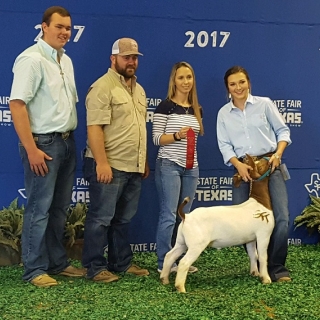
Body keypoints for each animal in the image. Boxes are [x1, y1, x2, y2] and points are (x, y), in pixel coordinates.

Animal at [160, 154, 276, 292]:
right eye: (261, 165)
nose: (270, 156)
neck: (259, 202)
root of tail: (186, 216)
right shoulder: (264, 234)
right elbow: (263, 257)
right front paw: (266, 279)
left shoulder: (250, 239)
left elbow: (253, 255)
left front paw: (254, 273)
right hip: (196, 244)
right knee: (184, 262)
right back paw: (181, 288)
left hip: (182, 241)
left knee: (170, 255)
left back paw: (164, 279)